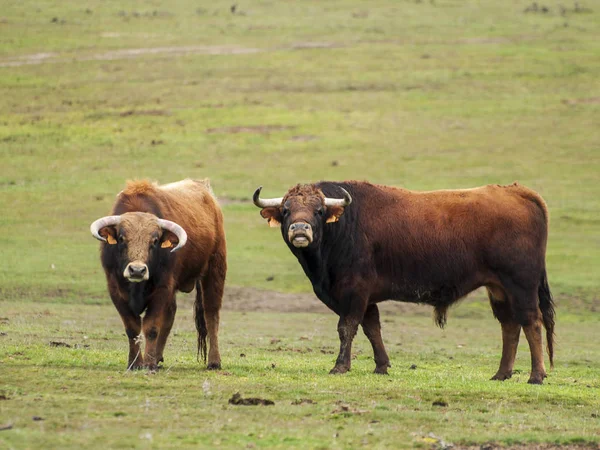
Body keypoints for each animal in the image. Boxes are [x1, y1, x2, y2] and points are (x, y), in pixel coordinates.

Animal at [90, 178, 226, 370]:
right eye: (122, 238)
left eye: (154, 240)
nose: (137, 270)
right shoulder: (115, 289)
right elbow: (132, 328)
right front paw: (135, 363)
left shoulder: (163, 287)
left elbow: (152, 327)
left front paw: (148, 363)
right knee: (170, 314)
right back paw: (157, 357)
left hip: (215, 269)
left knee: (211, 313)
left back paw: (214, 361)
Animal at [252, 181, 552, 384]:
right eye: (286, 210)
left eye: (318, 210)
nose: (300, 230)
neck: (344, 226)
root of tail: (519, 191)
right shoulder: (366, 298)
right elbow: (372, 328)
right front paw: (381, 366)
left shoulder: (354, 292)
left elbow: (347, 328)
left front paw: (340, 366)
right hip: (499, 289)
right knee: (509, 325)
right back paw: (501, 374)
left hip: (520, 286)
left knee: (531, 322)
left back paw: (536, 375)